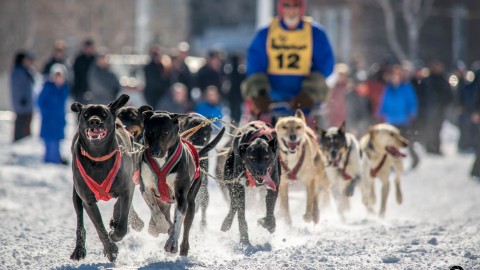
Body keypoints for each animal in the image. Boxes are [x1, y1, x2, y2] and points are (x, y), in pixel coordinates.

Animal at [70, 94, 141, 262]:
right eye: (86, 114)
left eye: (103, 114)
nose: (94, 121)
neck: (98, 157)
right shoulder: (88, 200)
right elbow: (99, 227)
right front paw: (110, 249)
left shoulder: (127, 188)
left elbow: (122, 223)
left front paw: (115, 234)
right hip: (76, 195)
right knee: (80, 223)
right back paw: (79, 249)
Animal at [137, 110, 223, 256]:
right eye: (149, 131)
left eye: (166, 132)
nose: (155, 152)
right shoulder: (145, 188)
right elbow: (156, 212)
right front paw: (162, 226)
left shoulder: (181, 194)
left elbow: (178, 221)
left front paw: (172, 243)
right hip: (165, 201)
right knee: (163, 214)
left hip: (191, 202)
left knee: (186, 226)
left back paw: (183, 248)